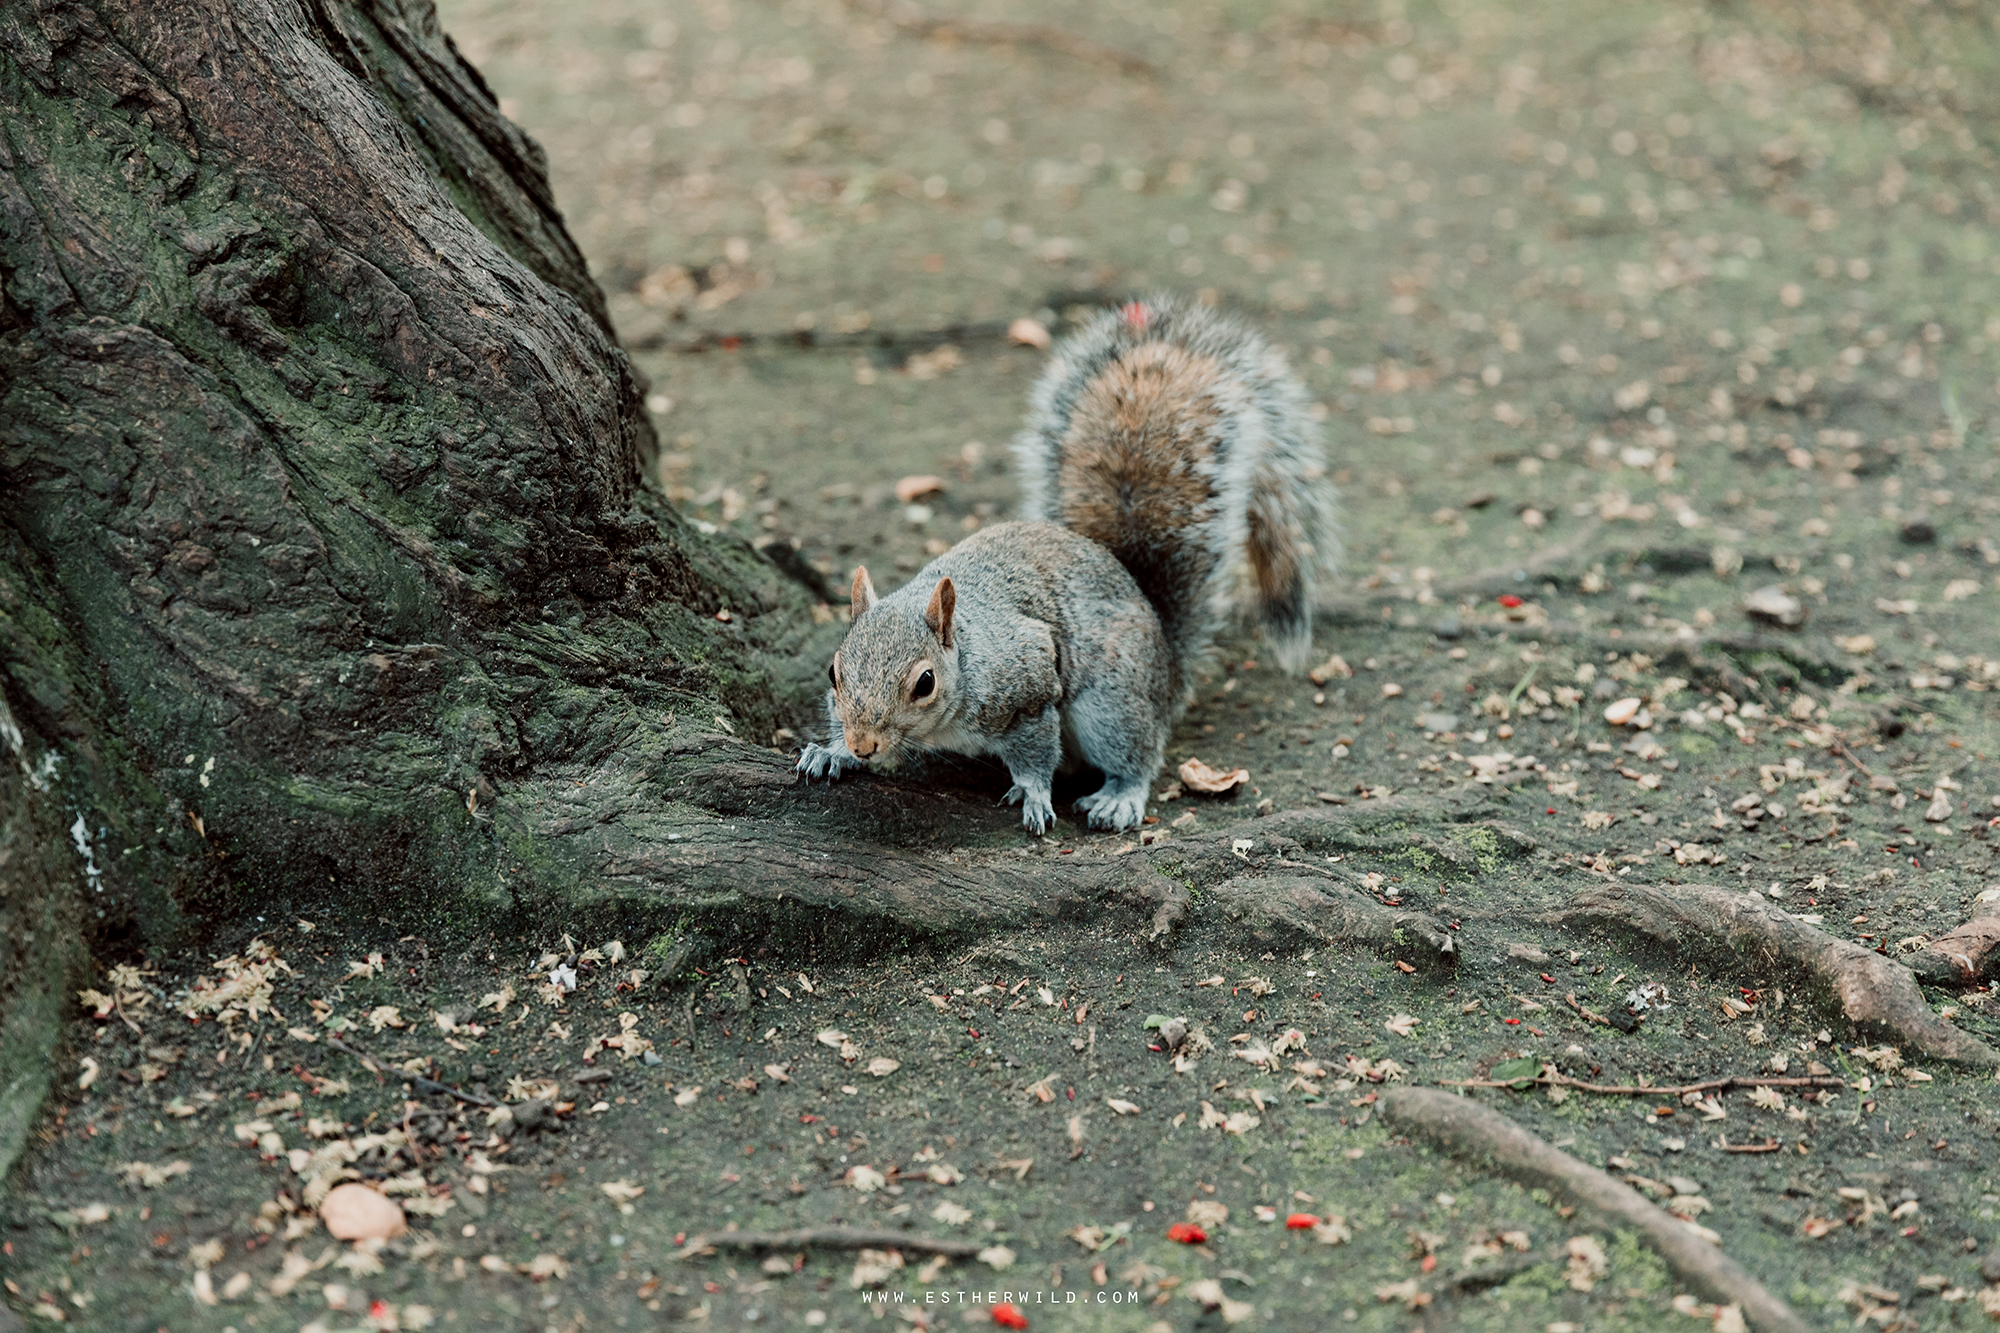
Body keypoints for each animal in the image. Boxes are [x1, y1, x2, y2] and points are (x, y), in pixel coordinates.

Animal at [788, 296, 1336, 824]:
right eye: (833, 672)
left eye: (925, 683)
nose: (864, 743)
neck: (966, 656)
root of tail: (1166, 662)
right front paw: (832, 752)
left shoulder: (1027, 687)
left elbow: (1036, 753)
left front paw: (1033, 795)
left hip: (1111, 706)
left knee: (1137, 753)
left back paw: (1119, 797)